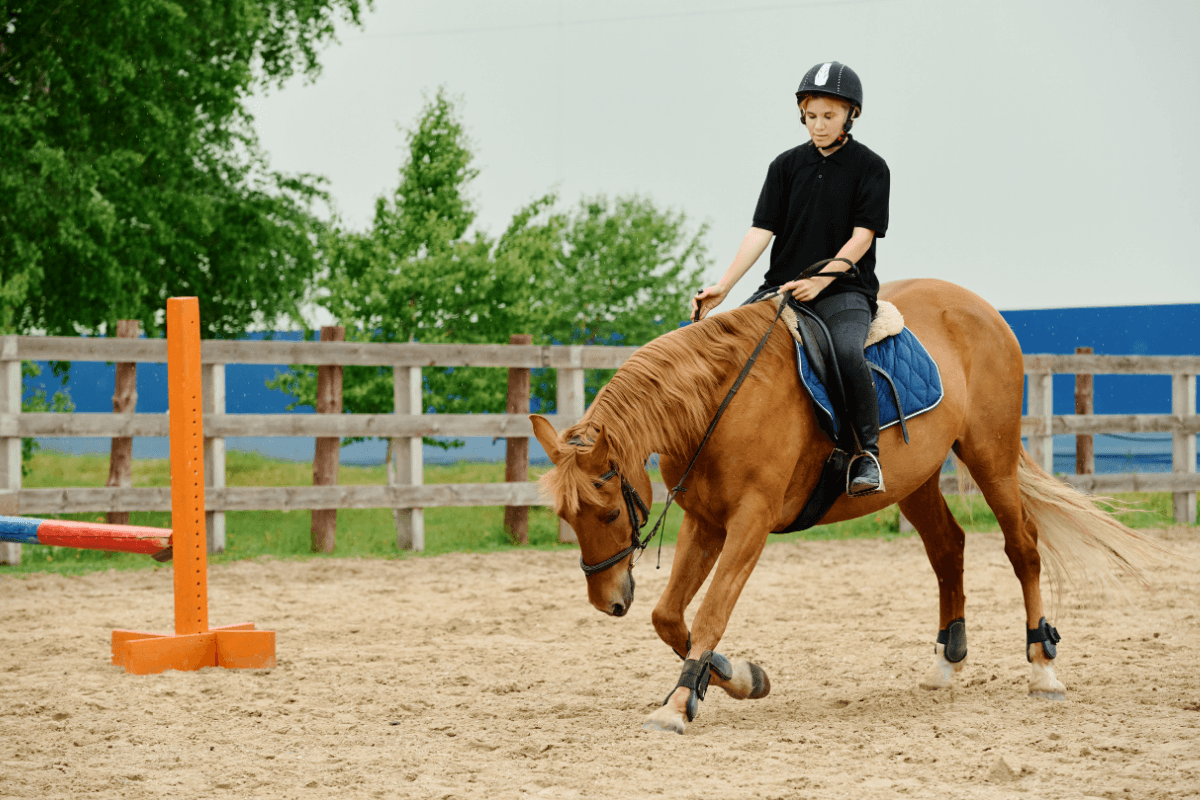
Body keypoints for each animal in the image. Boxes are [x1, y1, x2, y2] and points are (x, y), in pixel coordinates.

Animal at [530, 278, 1161, 735]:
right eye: (567, 519)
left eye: (610, 514)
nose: (608, 602)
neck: (718, 401)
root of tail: (982, 308)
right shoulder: (705, 520)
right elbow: (669, 616)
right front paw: (739, 675)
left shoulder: (749, 524)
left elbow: (709, 613)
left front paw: (681, 702)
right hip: (915, 480)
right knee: (948, 548)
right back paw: (947, 660)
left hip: (992, 456)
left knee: (1022, 548)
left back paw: (1042, 668)